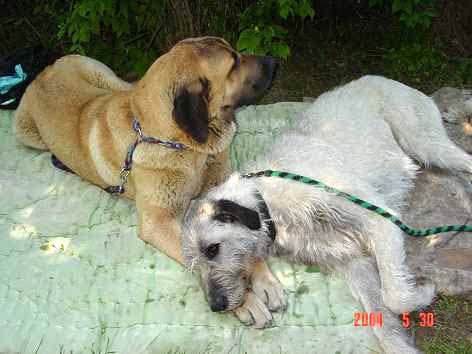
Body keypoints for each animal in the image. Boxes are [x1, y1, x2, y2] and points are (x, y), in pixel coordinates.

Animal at [13, 38, 280, 324]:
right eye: (234, 63)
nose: (274, 61)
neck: (185, 146)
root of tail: (44, 70)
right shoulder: (159, 222)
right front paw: (245, 302)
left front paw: (263, 279)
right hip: (27, 134)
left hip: (108, 76)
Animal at [181, 76, 472, 354]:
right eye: (193, 264)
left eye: (212, 249)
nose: (217, 306)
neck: (268, 202)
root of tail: (391, 80)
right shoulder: (351, 260)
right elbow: (384, 323)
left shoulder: (380, 220)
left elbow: (395, 297)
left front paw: (424, 291)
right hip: (427, 162)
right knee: (456, 177)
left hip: (425, 143)